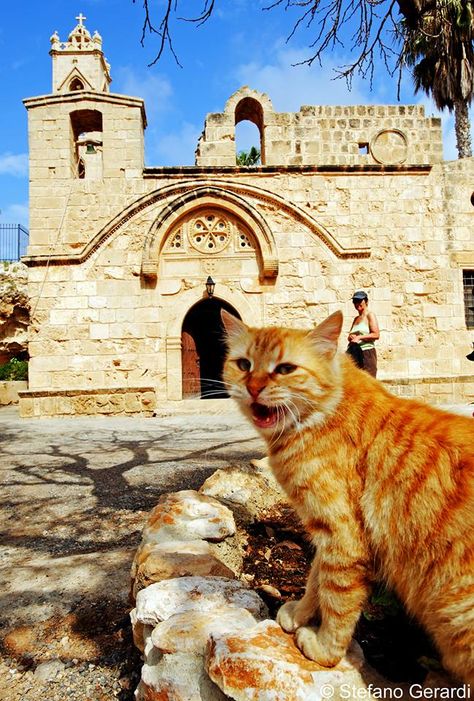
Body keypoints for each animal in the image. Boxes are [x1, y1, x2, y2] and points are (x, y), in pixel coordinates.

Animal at [221, 308, 474, 680]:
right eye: (243, 364)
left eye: (285, 369)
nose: (253, 388)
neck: (326, 411)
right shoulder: (325, 535)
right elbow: (316, 579)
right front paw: (299, 614)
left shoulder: (344, 536)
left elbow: (337, 597)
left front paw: (325, 649)